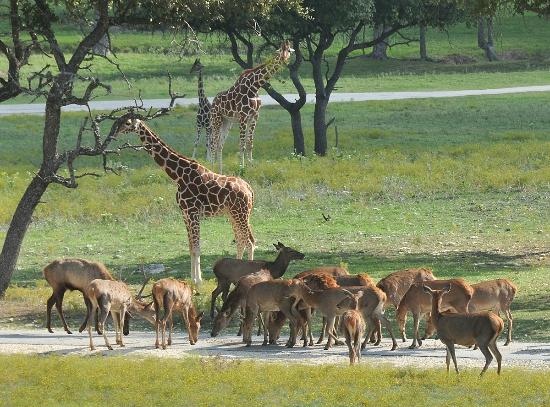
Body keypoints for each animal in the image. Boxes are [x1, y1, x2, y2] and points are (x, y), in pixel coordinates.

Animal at [117, 118, 256, 286]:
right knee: (242, 241)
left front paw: (198, 281)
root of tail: (249, 189)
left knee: (249, 242)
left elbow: (196, 248)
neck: (178, 176)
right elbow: (190, 247)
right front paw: (192, 278)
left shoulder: (193, 212)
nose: (115, 132)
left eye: (126, 123)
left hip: (240, 214)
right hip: (234, 214)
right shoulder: (185, 214)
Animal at [210, 41, 296, 174]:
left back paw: (220, 172)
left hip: (227, 121)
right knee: (213, 144)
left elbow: (250, 143)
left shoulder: (255, 116)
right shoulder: (243, 117)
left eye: (289, 50)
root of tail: (213, 101)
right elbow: (242, 145)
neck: (255, 87)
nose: (285, 59)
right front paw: (241, 169)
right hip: (216, 119)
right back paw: (212, 170)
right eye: (282, 50)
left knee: (220, 144)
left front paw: (251, 168)